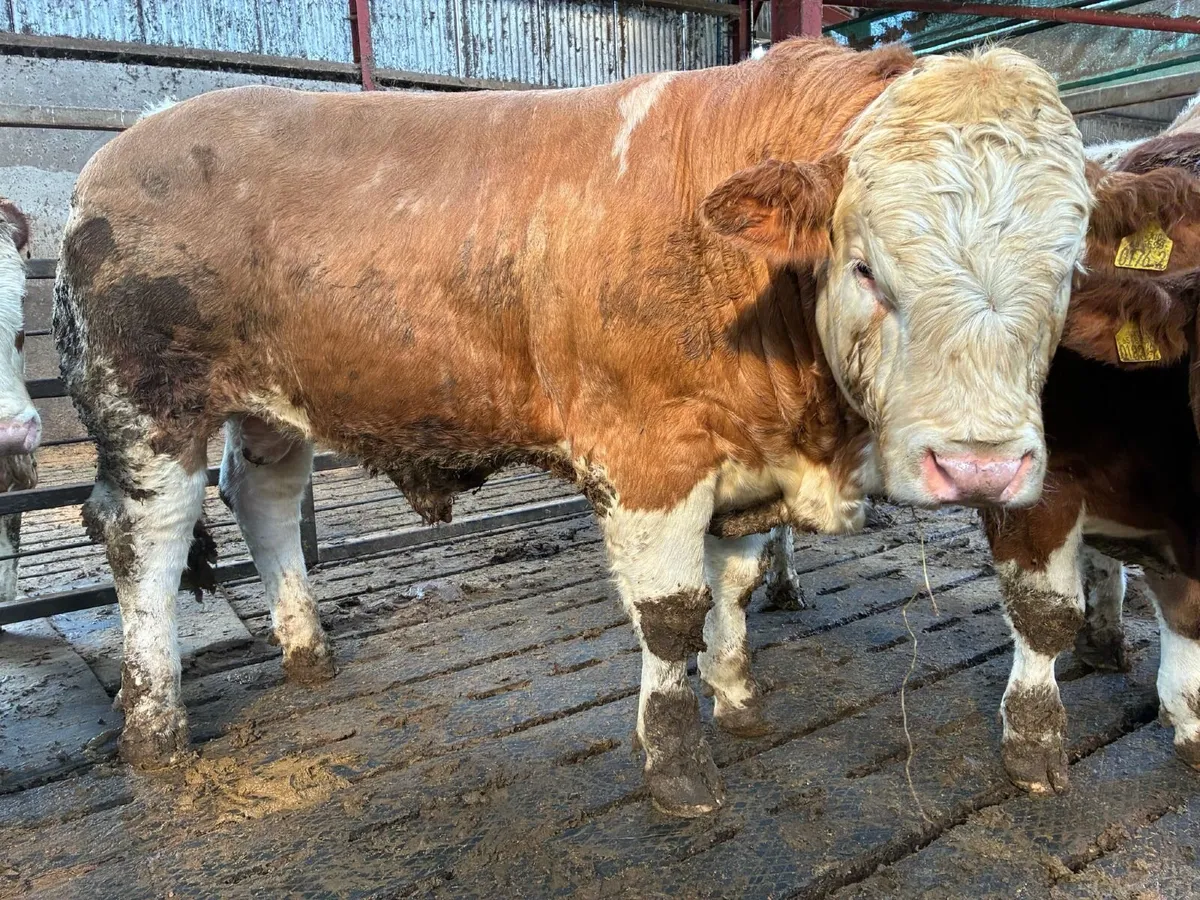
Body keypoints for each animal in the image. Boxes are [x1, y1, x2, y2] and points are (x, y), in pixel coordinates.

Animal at [55, 37, 1140, 817]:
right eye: (868, 267)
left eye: (1069, 271)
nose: (977, 465)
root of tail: (126, 140)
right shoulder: (647, 455)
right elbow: (670, 614)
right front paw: (678, 766)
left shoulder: (741, 454)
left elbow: (734, 583)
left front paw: (738, 700)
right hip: (148, 403)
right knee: (145, 541)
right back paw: (155, 728)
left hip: (271, 403)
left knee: (268, 498)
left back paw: (306, 650)